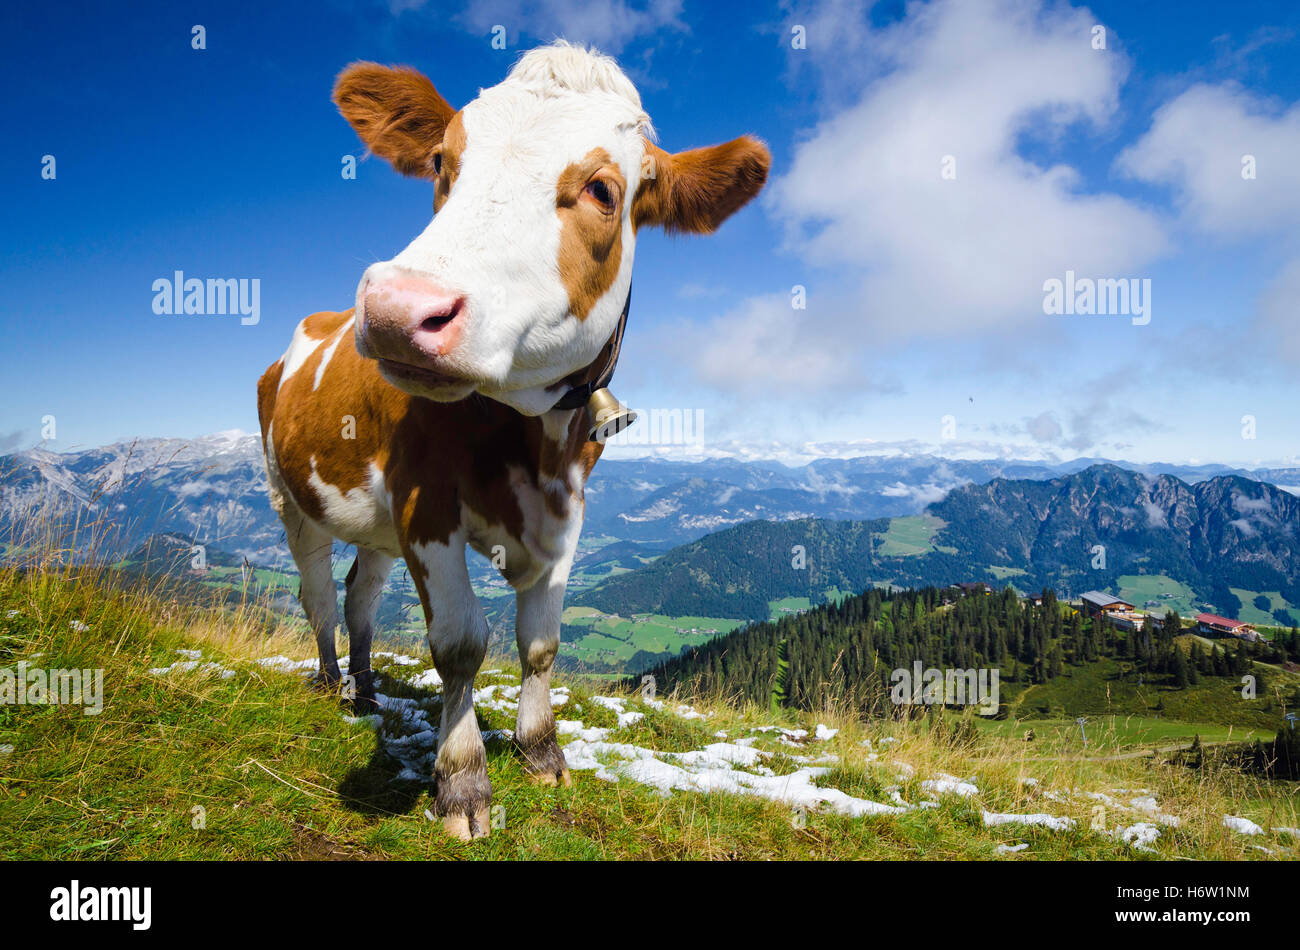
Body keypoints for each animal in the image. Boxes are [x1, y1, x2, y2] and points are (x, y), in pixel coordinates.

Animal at [257, 42, 764, 842]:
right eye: (441, 160)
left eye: (602, 190)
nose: (398, 309)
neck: (533, 442)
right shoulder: (424, 505)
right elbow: (461, 643)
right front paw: (462, 782)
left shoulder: (570, 512)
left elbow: (541, 642)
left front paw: (541, 750)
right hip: (290, 498)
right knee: (314, 592)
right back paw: (333, 680)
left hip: (371, 522)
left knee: (360, 591)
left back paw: (366, 690)